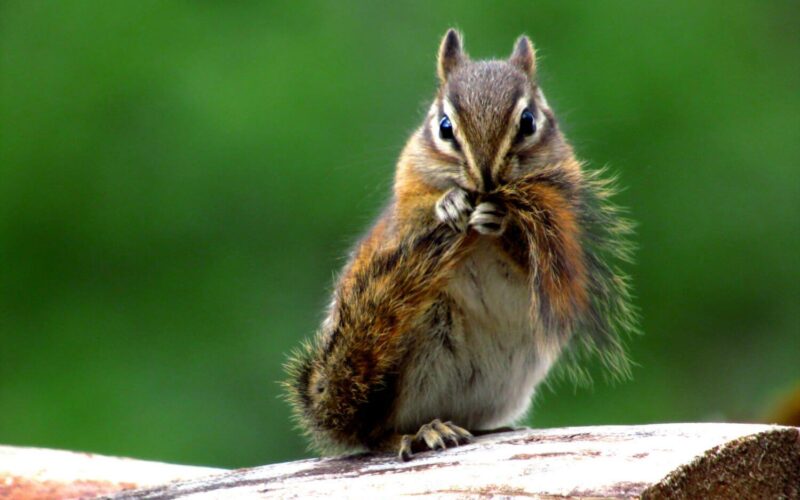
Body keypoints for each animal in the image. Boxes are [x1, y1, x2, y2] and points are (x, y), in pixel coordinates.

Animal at [285, 29, 637, 461]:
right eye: (444, 126)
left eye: (528, 121)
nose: (485, 177)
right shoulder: (403, 210)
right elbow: (416, 217)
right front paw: (449, 203)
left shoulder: (563, 225)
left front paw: (500, 220)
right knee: (379, 434)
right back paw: (422, 432)